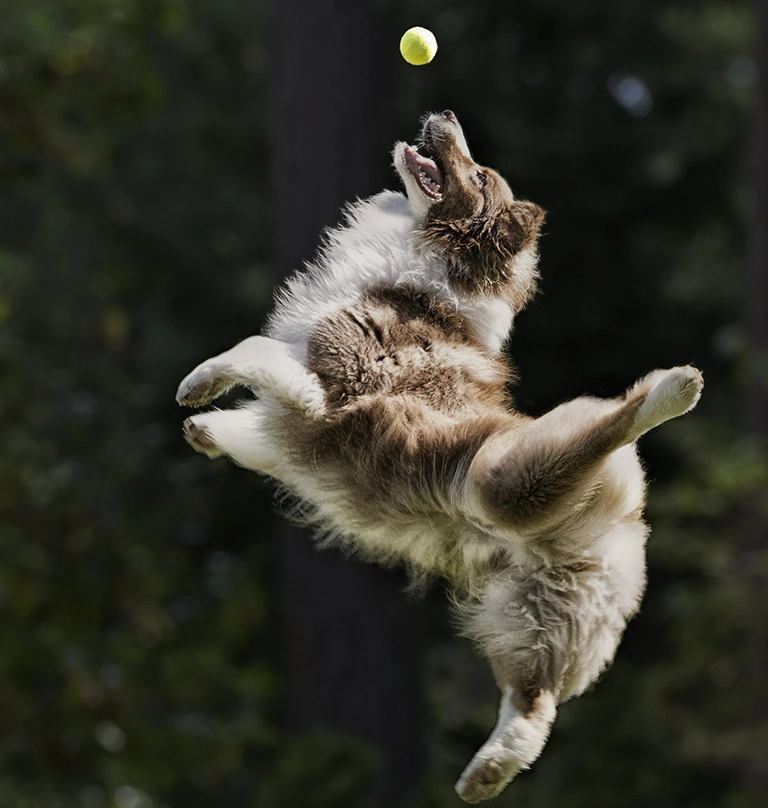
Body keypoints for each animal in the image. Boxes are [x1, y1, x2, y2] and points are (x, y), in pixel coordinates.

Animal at [177, 112, 704, 800]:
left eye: (477, 174)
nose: (446, 116)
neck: (434, 266)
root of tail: (625, 512)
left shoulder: (327, 384)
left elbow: (250, 347)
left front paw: (197, 386)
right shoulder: (293, 422)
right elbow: (254, 422)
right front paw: (206, 430)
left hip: (501, 484)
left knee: (608, 425)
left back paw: (672, 388)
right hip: (533, 615)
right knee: (535, 703)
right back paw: (486, 773)